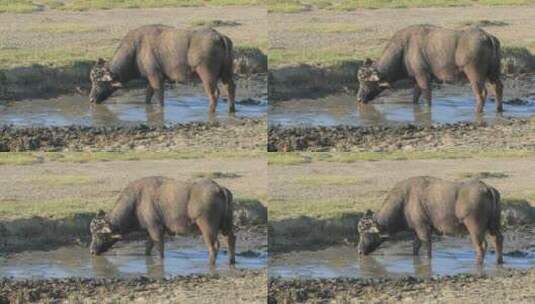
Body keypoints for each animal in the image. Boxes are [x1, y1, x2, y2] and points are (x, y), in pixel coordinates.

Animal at [89, 25, 236, 113]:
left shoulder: (156, 77)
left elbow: (159, 97)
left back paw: (210, 112)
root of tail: (219, 36)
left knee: (214, 93)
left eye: (98, 82)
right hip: (226, 73)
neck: (136, 51)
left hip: (206, 75)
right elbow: (148, 96)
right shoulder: (150, 78)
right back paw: (231, 110)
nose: (91, 99)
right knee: (230, 88)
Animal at [89, 176, 236, 266]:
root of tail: (219, 188)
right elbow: (147, 248)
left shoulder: (156, 230)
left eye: (100, 235)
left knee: (214, 246)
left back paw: (211, 264)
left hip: (206, 227)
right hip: (226, 225)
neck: (136, 202)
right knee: (231, 239)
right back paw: (231, 261)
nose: (91, 251)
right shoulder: (149, 231)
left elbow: (159, 248)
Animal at [358, 24, 504, 113]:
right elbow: (415, 96)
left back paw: (477, 111)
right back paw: (499, 109)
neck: (404, 50)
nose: (359, 99)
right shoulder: (416, 79)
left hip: (474, 75)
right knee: (498, 87)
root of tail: (487, 36)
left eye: (365, 82)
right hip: (493, 73)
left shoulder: (423, 77)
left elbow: (427, 95)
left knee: (481, 93)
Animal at [358, 176, 504, 264]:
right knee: (498, 239)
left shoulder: (423, 229)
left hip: (474, 228)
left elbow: (427, 246)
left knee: (481, 246)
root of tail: (486, 188)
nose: (359, 251)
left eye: (364, 233)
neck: (405, 201)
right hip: (493, 225)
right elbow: (415, 247)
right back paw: (499, 261)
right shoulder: (415, 231)